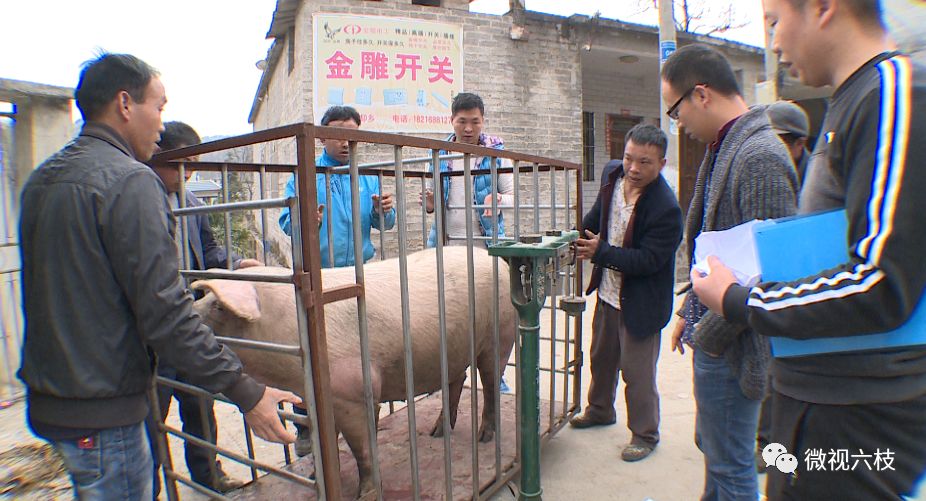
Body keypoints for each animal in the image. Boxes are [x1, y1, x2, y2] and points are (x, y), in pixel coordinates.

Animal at [191, 246, 520, 496]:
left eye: (218, 307)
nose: (191, 315)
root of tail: (494, 259)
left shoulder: (355, 392)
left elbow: (363, 449)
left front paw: (366, 494)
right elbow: (326, 445)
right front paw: (315, 478)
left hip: (500, 332)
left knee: (490, 381)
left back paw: (483, 437)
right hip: (452, 346)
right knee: (457, 379)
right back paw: (437, 432)